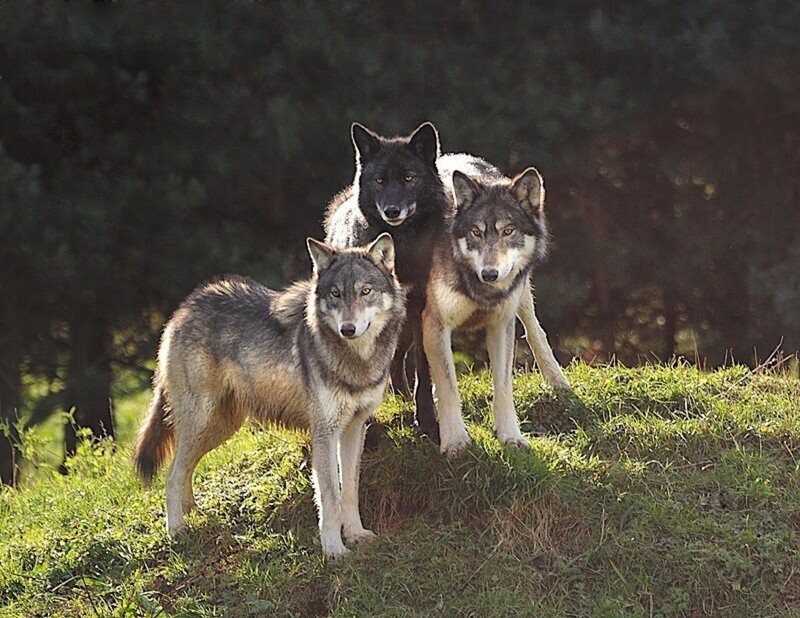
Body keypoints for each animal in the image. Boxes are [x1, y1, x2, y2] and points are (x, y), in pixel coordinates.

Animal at [133, 234, 405, 558]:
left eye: (365, 291)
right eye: (336, 294)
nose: (347, 329)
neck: (356, 360)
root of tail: (185, 307)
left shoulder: (354, 427)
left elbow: (349, 489)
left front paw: (356, 534)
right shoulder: (324, 433)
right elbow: (329, 496)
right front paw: (333, 549)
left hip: (220, 428)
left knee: (184, 469)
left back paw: (194, 515)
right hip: (202, 421)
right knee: (173, 474)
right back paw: (177, 531)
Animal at [324, 122, 446, 440]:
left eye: (409, 178)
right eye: (379, 180)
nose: (392, 210)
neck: (399, 247)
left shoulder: (420, 309)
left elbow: (424, 370)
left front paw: (428, 423)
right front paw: (365, 433)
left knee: (395, 359)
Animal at [423, 162, 569, 456]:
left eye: (508, 231)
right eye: (476, 233)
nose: (489, 274)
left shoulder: (501, 324)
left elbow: (503, 386)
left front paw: (511, 436)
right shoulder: (435, 323)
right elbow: (448, 386)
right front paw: (455, 441)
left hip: (522, 296)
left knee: (536, 332)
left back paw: (558, 381)